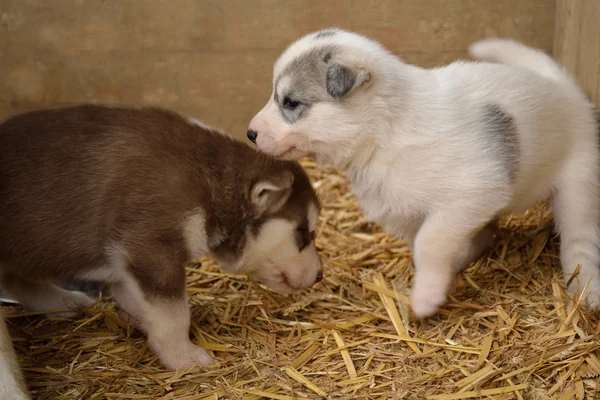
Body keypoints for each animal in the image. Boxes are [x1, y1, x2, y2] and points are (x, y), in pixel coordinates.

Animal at [1, 104, 324, 370]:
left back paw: (66, 301)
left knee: (18, 281)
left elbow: (135, 297)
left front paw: (139, 319)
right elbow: (174, 314)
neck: (210, 180)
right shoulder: (150, 249)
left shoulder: (125, 259)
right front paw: (183, 357)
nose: (321, 275)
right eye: (303, 231)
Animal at [248, 26, 600, 318]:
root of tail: (569, 92)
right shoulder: (408, 212)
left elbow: (429, 243)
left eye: (291, 103)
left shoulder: (472, 193)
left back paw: (587, 288)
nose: (250, 133)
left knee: (579, 241)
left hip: (577, 190)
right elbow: (424, 246)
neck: (383, 131)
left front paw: (426, 297)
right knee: (488, 233)